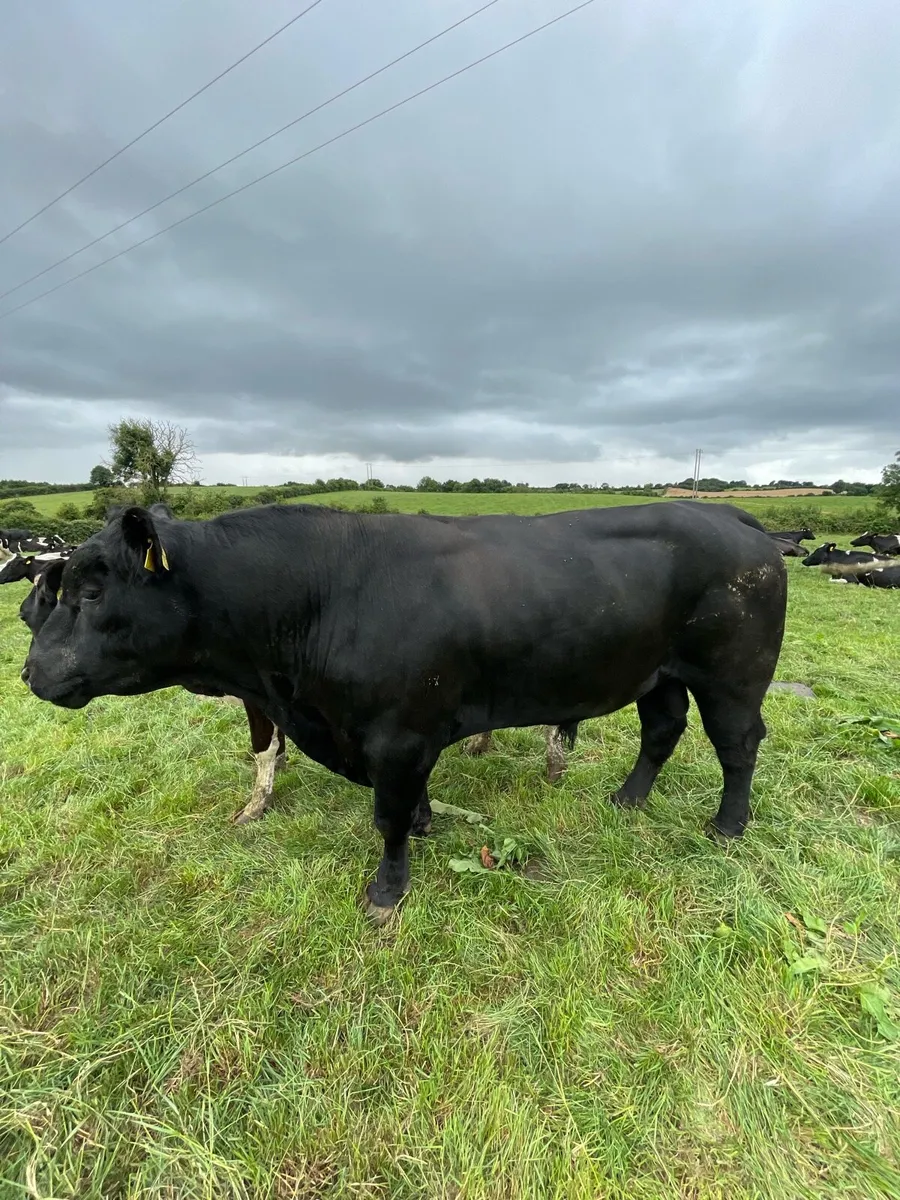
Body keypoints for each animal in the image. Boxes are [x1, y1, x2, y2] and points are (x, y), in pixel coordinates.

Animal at [21, 499, 787, 925]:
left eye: (92, 590)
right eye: (56, 589)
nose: (31, 672)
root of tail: (726, 514)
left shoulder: (396, 735)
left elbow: (386, 817)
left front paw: (386, 892)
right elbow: (410, 803)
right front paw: (423, 825)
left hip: (732, 675)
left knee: (738, 744)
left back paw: (727, 825)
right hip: (658, 672)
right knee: (662, 729)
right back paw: (628, 799)